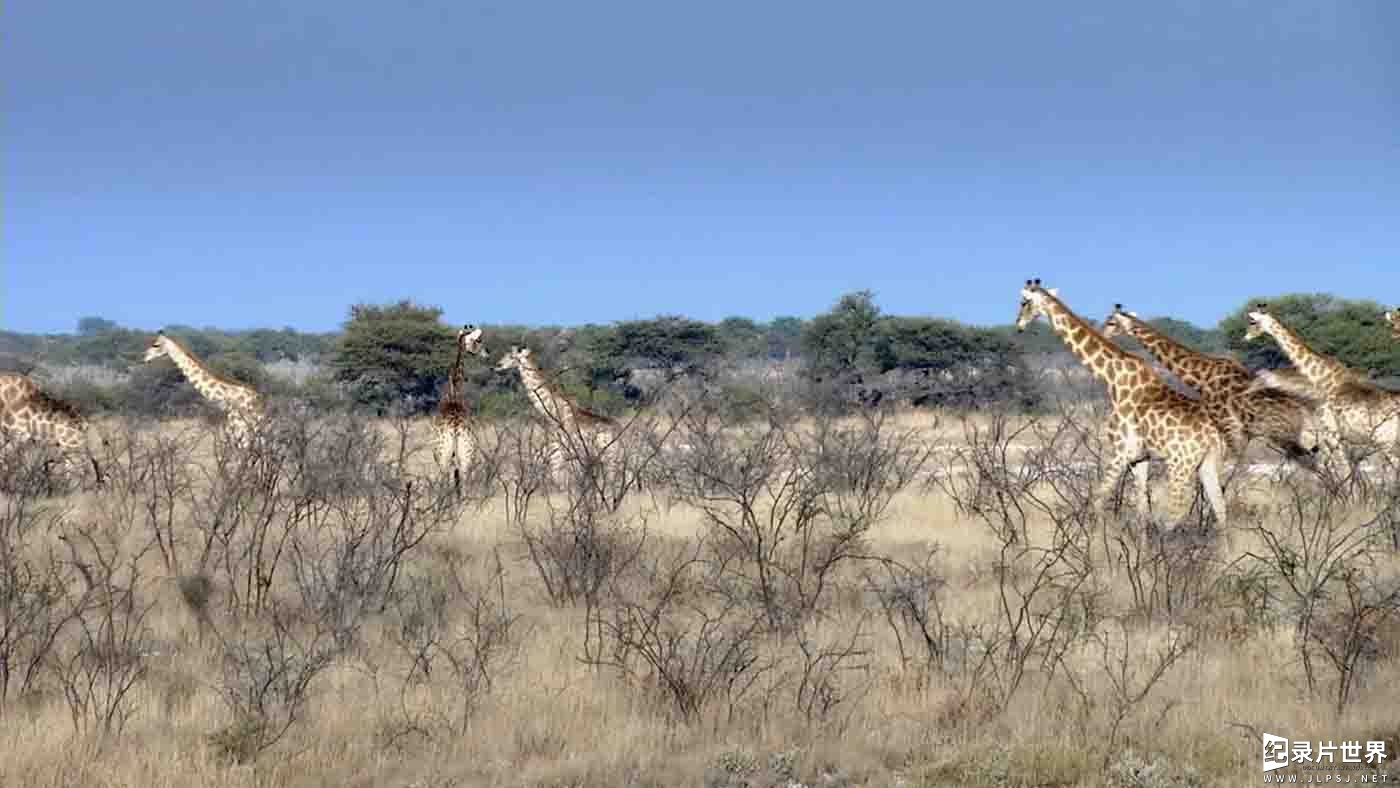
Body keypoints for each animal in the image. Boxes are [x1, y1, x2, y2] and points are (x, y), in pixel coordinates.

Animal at [434, 323, 490, 489]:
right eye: (478, 340)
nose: (487, 353)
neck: (454, 395)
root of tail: (454, 430)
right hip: (464, 457)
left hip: (448, 457)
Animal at [498, 347, 618, 481]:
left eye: (512, 357)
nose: (498, 365)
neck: (554, 414)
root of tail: (618, 431)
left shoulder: (561, 454)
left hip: (608, 457)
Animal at [1019, 278, 1226, 529]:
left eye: (1024, 302)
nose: (1019, 325)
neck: (1113, 378)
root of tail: (1214, 433)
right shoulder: (1139, 458)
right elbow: (1142, 511)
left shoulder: (1121, 452)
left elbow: (1098, 500)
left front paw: (1096, 540)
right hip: (1207, 463)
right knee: (1221, 510)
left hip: (1180, 464)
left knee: (1175, 515)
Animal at [1097, 305, 1316, 473]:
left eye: (1111, 322)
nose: (1102, 334)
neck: (1203, 377)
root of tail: (1306, 412)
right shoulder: (1237, 434)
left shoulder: (1229, 429)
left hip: (1284, 438)